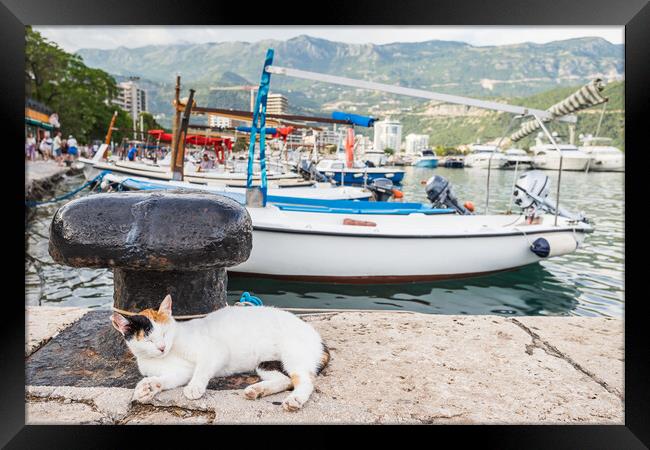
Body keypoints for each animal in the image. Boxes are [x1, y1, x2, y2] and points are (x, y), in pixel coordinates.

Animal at [109, 296, 330, 412]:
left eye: (165, 333)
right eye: (148, 340)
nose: (162, 347)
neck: (166, 356)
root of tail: (315, 334)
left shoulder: (214, 350)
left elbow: (201, 370)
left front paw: (194, 388)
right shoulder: (180, 372)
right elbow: (166, 379)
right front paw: (147, 388)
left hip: (294, 354)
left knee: (305, 380)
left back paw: (295, 399)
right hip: (265, 363)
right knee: (285, 380)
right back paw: (256, 390)